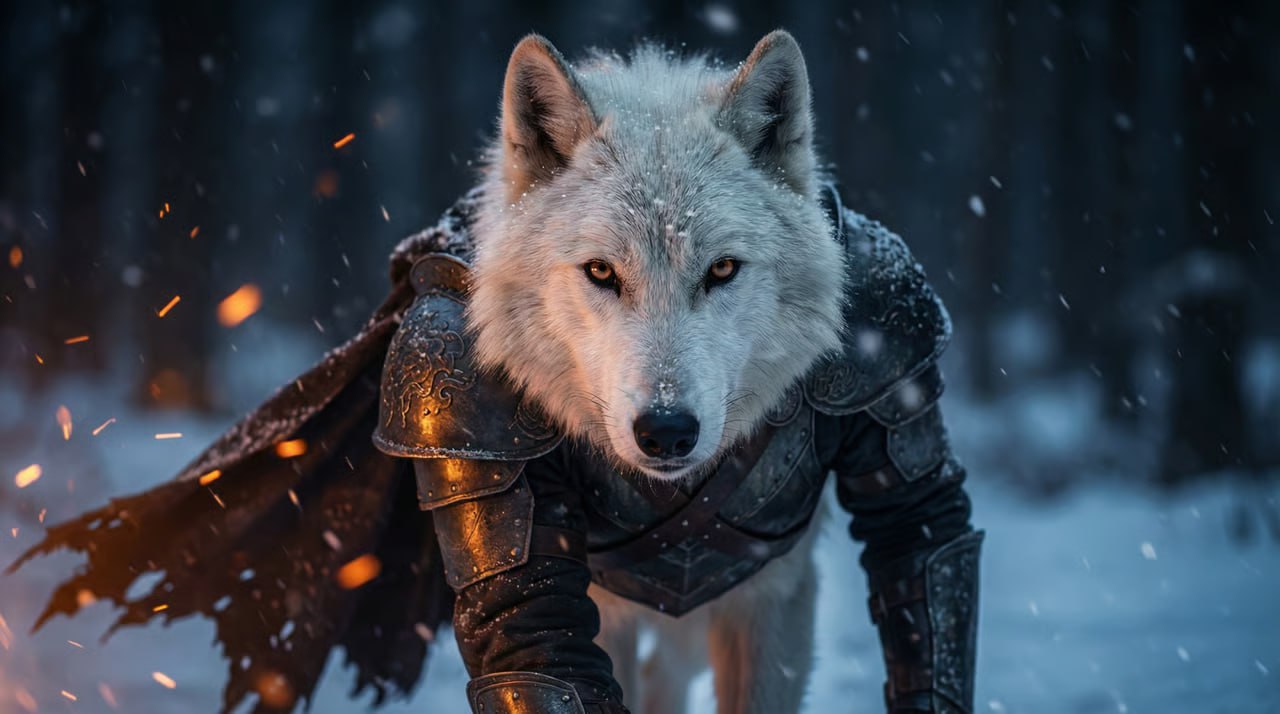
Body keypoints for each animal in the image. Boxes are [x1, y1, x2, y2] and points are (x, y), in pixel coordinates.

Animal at [13, 30, 981, 714]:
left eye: (722, 271)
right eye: (601, 273)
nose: (666, 431)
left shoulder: (788, 580)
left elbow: (919, 532)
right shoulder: (474, 429)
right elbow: (539, 647)